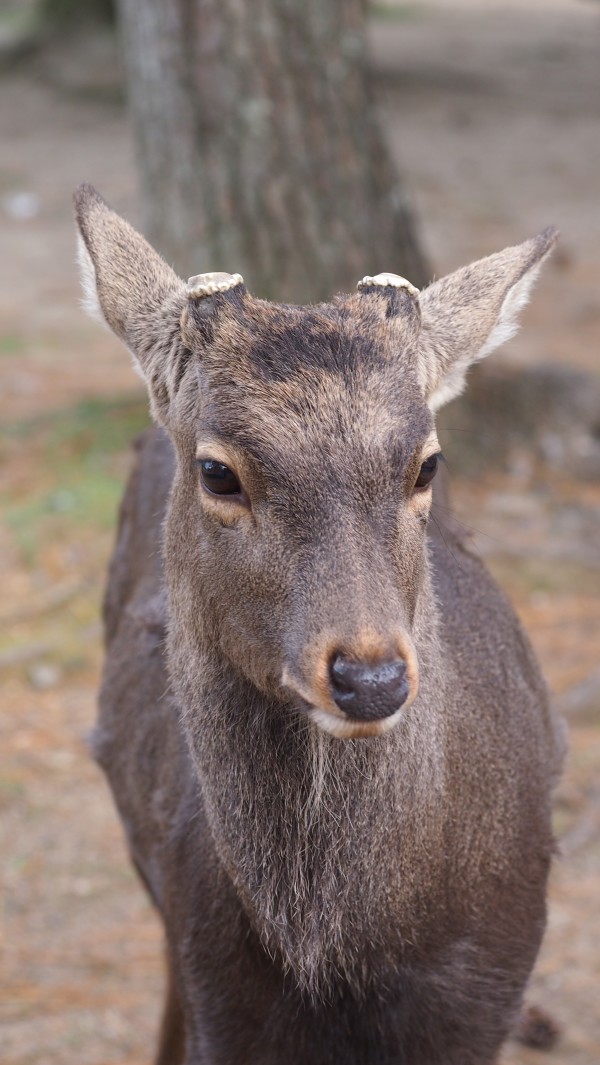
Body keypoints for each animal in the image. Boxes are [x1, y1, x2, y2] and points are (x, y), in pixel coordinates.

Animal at [75, 185, 566, 1065]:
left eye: (427, 462)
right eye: (217, 471)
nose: (369, 677)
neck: (345, 965)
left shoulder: (483, 999)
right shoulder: (222, 1000)